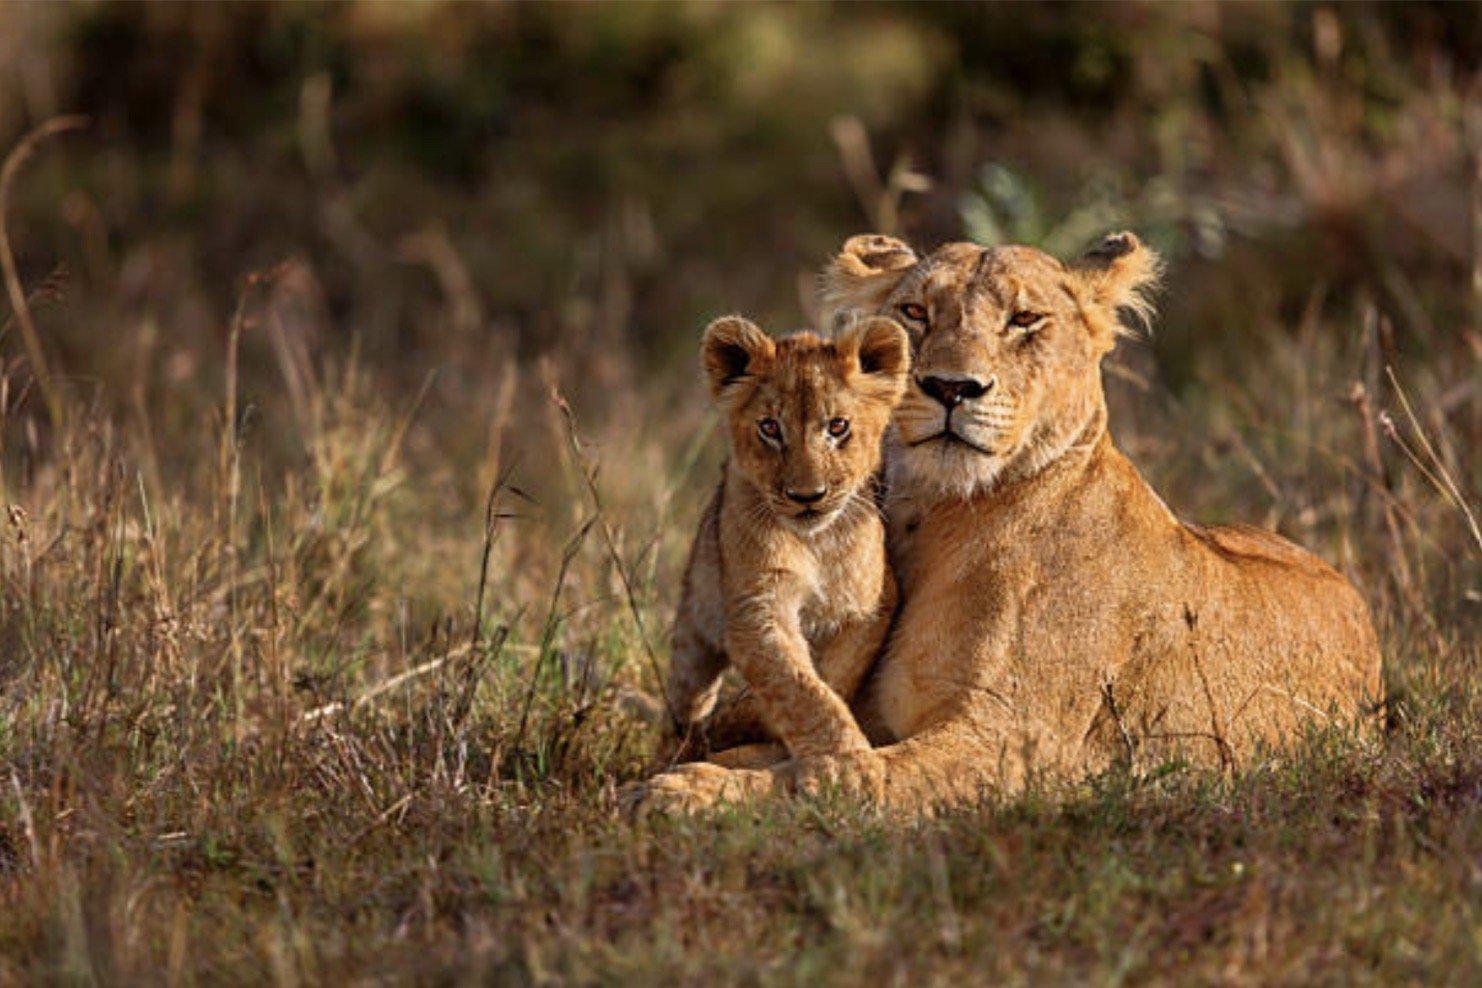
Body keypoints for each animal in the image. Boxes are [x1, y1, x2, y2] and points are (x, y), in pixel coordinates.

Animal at [662, 314, 911, 768]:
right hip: (693, 630)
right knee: (683, 705)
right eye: (770, 428)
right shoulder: (757, 605)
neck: (817, 543)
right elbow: (799, 687)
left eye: (837, 426)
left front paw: (757, 720)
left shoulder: (871, 604)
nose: (807, 496)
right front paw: (846, 762)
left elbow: (832, 675)